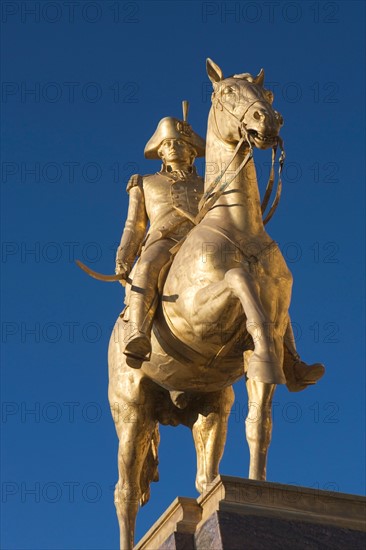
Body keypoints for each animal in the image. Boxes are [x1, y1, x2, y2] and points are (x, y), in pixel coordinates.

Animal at [108, 60, 294, 550]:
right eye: (226, 92)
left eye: (267, 92)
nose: (268, 120)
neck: (239, 226)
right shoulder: (200, 310)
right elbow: (238, 282)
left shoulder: (271, 327)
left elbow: (260, 415)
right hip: (131, 411)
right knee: (125, 491)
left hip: (209, 408)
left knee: (203, 478)